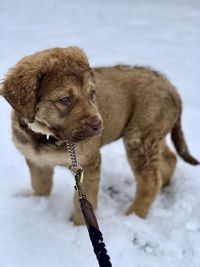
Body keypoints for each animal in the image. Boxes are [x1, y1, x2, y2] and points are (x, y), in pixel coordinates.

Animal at [1, 47, 198, 225]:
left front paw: (79, 229)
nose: (98, 126)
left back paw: (132, 216)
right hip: (153, 135)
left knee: (150, 181)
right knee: (169, 159)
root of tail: (172, 88)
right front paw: (37, 204)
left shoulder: (88, 164)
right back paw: (165, 184)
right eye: (65, 99)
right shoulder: (37, 162)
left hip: (140, 138)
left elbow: (83, 205)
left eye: (91, 93)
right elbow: (41, 187)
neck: (46, 136)